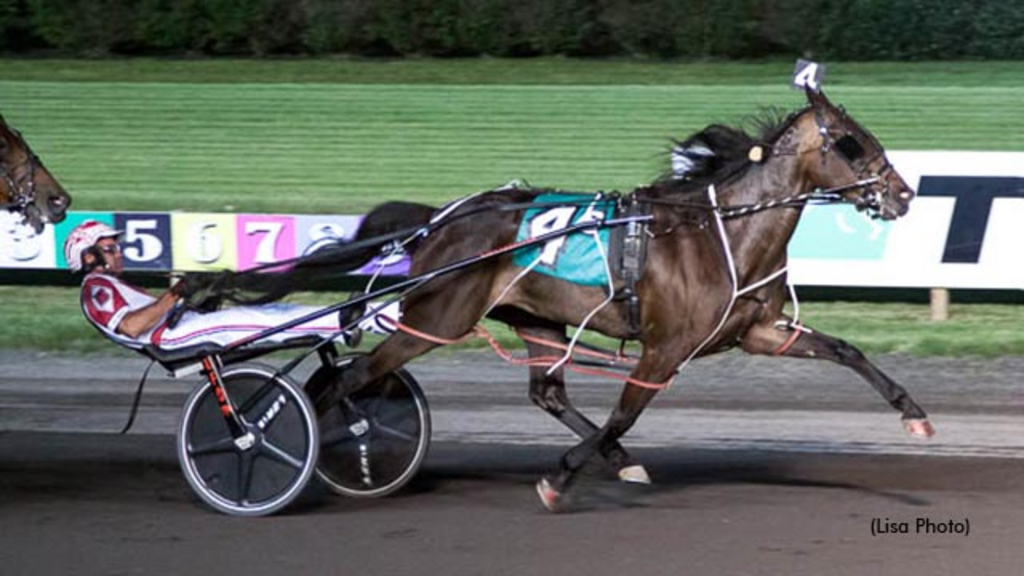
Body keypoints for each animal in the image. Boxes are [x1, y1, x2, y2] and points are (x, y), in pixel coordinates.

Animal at [207, 87, 929, 508]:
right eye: (850, 142)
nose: (903, 192)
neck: (722, 229)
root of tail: (444, 218)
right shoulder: (664, 348)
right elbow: (627, 412)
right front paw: (560, 481)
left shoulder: (758, 329)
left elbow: (845, 350)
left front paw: (914, 413)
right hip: (435, 318)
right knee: (343, 381)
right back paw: (292, 452)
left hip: (537, 320)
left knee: (544, 392)